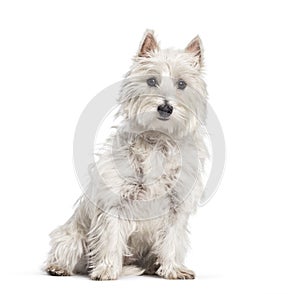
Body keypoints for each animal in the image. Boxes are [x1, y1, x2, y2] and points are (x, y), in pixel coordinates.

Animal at [45, 29, 209, 280]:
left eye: (182, 84)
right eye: (151, 81)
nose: (165, 107)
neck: (157, 139)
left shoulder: (176, 207)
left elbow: (172, 240)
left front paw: (172, 269)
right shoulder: (116, 203)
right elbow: (111, 238)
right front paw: (107, 269)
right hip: (72, 237)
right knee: (68, 251)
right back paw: (59, 267)